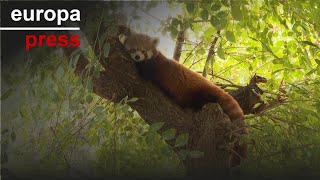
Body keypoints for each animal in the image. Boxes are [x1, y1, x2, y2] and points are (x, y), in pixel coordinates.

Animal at [120, 32, 248, 165]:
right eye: (133, 49)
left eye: (143, 51)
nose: (137, 57)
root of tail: (215, 87)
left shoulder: (154, 66)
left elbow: (144, 73)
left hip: (201, 93)